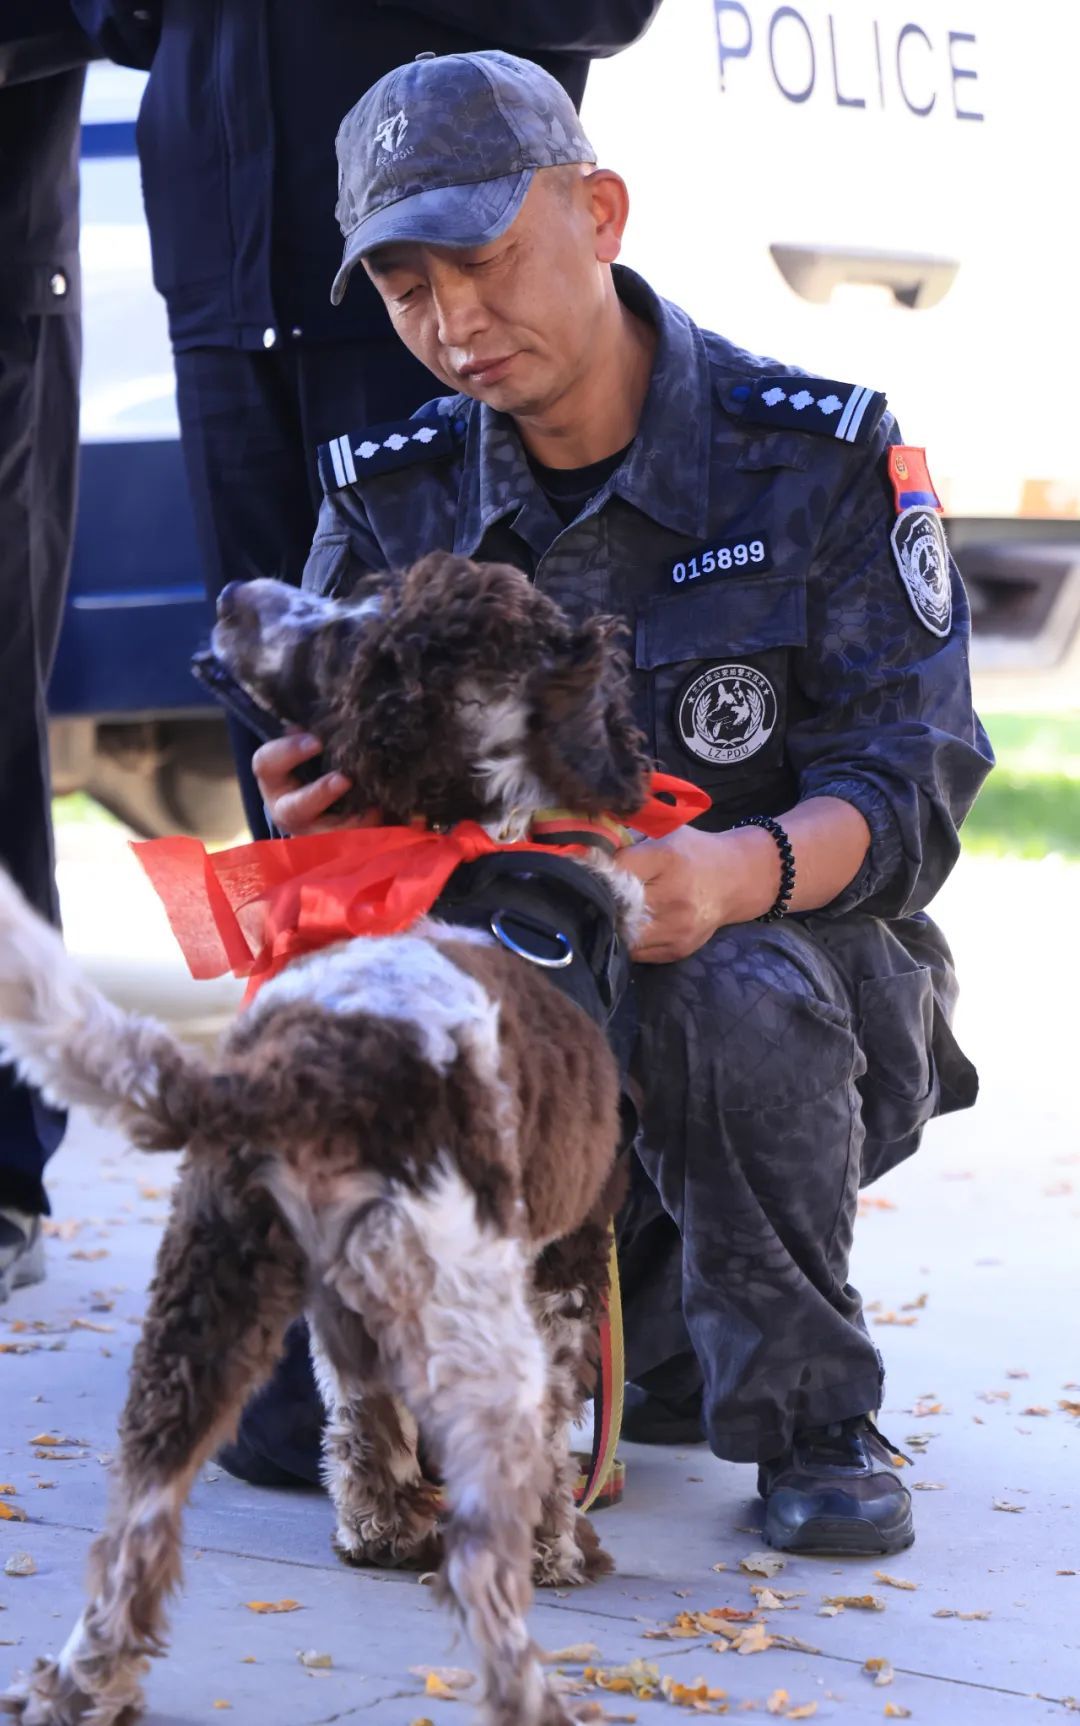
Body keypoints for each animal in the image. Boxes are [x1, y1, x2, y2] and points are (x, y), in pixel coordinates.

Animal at [0, 552, 648, 1726]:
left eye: (360, 626)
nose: (238, 594)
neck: (488, 854)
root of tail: (306, 1068)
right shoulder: (570, 1265)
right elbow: (555, 1438)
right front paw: (565, 1547)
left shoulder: (341, 1311)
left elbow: (358, 1419)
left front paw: (375, 1528)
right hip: (477, 1336)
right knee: (482, 1570)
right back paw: (538, 1694)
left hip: (202, 1305)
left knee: (136, 1529)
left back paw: (81, 1686)